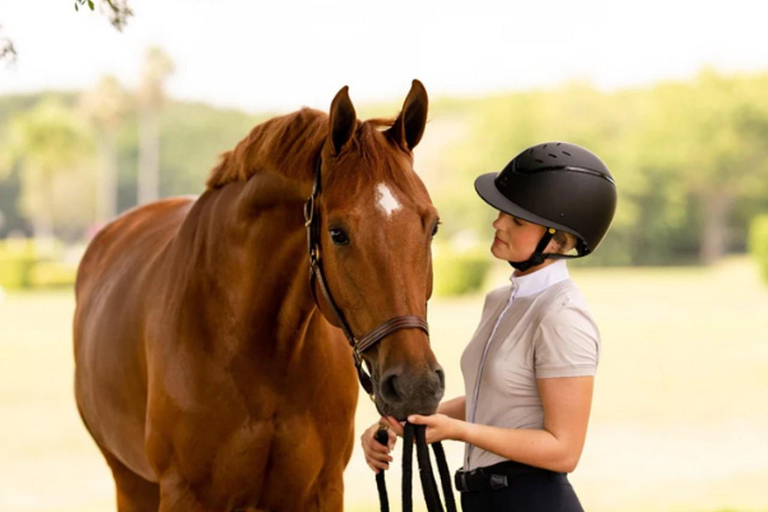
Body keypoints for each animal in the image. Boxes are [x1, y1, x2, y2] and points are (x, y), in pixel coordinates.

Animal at [75, 81, 448, 512]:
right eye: (337, 233)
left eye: (432, 226)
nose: (416, 386)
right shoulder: (183, 493)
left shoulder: (322, 489)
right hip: (130, 481)